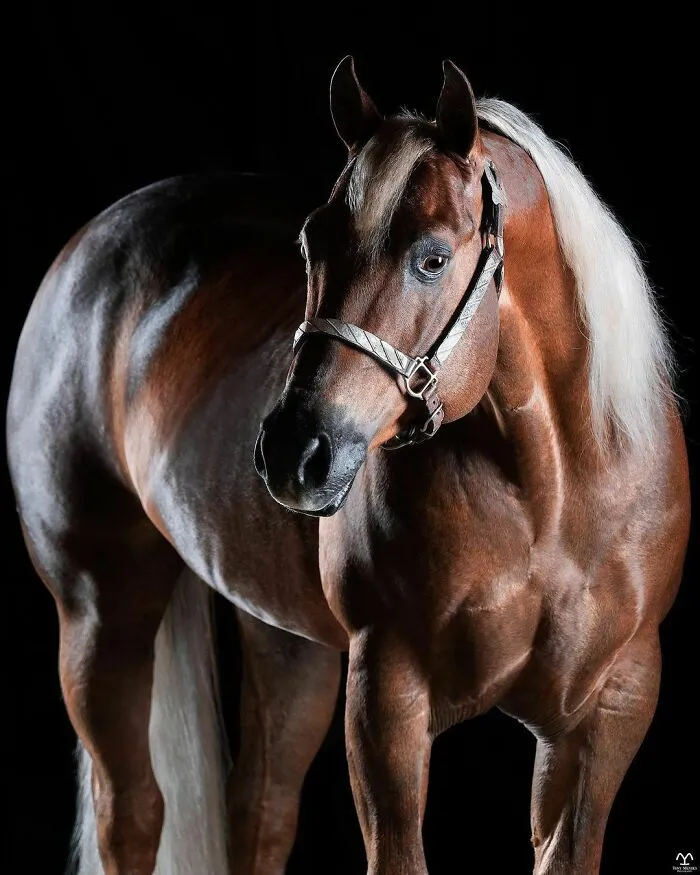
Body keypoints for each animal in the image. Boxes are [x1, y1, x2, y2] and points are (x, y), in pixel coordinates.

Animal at [6, 56, 690, 875]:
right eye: (311, 245)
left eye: (432, 258)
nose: (294, 451)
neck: (551, 491)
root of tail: (89, 245)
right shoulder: (386, 695)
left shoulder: (606, 710)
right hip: (99, 612)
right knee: (132, 813)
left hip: (285, 639)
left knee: (260, 811)